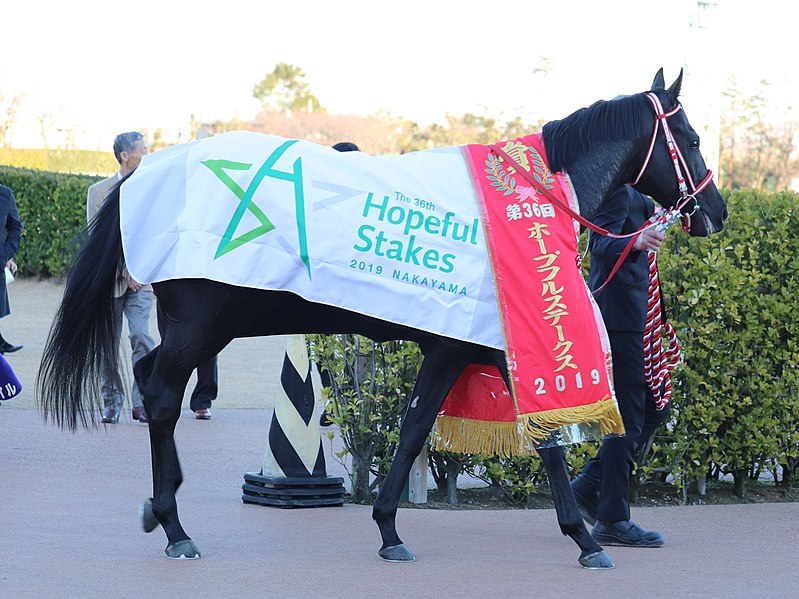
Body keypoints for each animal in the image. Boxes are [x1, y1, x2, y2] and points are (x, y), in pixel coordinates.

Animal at [36, 69, 724, 568]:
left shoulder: (459, 347)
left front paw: (389, 526)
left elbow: (417, 426)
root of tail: (147, 176)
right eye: (690, 140)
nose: (714, 211)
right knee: (158, 395)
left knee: (154, 382)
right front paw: (585, 538)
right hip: (203, 324)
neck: (527, 199)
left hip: (204, 327)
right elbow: (537, 440)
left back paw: (160, 505)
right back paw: (175, 527)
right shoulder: (491, 345)